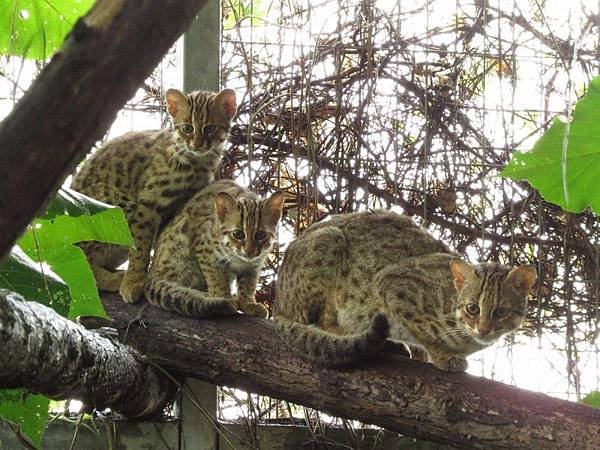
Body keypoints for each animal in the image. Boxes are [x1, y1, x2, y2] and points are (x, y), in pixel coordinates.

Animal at [71, 87, 237, 306]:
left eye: (210, 128)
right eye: (187, 128)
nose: (197, 144)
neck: (197, 162)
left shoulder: (177, 208)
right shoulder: (148, 204)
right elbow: (140, 248)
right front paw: (133, 281)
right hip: (119, 205)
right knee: (83, 262)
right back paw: (114, 279)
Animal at [146, 179, 286, 320]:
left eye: (261, 235)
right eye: (238, 234)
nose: (249, 250)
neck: (239, 259)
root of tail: (151, 274)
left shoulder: (254, 265)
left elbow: (248, 285)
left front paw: (248, 304)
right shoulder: (206, 250)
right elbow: (217, 280)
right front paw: (223, 298)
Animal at [274, 211, 536, 372]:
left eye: (500, 311)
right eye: (473, 308)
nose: (483, 329)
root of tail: (278, 303)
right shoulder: (391, 282)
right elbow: (426, 333)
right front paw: (444, 356)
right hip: (328, 243)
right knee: (322, 322)